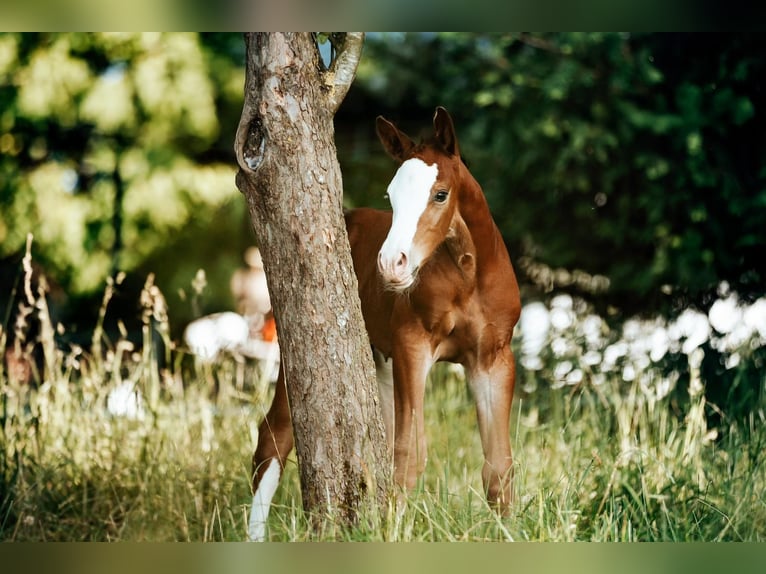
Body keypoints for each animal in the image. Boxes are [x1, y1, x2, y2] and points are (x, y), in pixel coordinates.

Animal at [248, 107, 521, 541]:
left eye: (440, 194)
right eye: (391, 196)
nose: (393, 264)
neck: (469, 276)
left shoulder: (493, 360)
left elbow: (498, 465)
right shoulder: (413, 345)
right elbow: (409, 455)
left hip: (380, 363)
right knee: (274, 436)